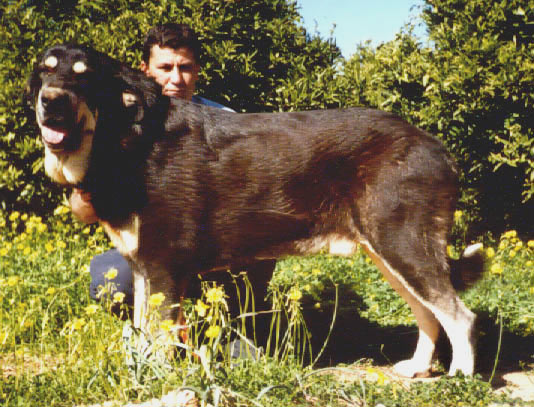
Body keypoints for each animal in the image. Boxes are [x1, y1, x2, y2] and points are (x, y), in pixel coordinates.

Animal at [28, 43, 486, 378]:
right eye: (46, 71)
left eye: (85, 75)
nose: (50, 100)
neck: (129, 136)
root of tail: (435, 146)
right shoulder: (143, 269)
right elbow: (145, 332)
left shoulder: (162, 266)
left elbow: (158, 337)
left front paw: (155, 377)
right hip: (390, 255)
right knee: (429, 314)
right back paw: (418, 369)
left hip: (404, 247)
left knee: (459, 316)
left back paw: (460, 377)